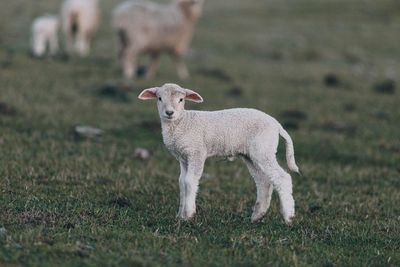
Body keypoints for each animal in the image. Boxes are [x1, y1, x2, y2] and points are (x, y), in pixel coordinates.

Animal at [139, 82, 298, 225]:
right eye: (159, 98)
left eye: (181, 100)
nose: (169, 113)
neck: (183, 122)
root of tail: (277, 125)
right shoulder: (183, 158)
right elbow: (182, 182)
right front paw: (180, 216)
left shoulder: (196, 152)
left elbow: (189, 181)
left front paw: (189, 214)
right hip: (252, 155)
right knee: (263, 181)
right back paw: (257, 216)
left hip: (263, 150)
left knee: (282, 178)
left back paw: (288, 217)